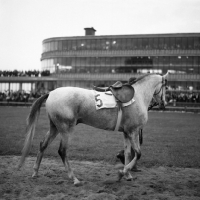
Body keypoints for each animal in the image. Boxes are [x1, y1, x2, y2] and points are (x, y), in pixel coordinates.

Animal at [17, 72, 169, 186]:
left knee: (43, 145)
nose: (163, 103)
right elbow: (138, 153)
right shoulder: (133, 131)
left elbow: (127, 153)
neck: (137, 96)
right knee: (62, 151)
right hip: (66, 128)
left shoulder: (126, 132)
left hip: (55, 127)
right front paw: (121, 173)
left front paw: (127, 175)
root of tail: (51, 93)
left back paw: (35, 172)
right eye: (166, 87)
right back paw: (74, 178)